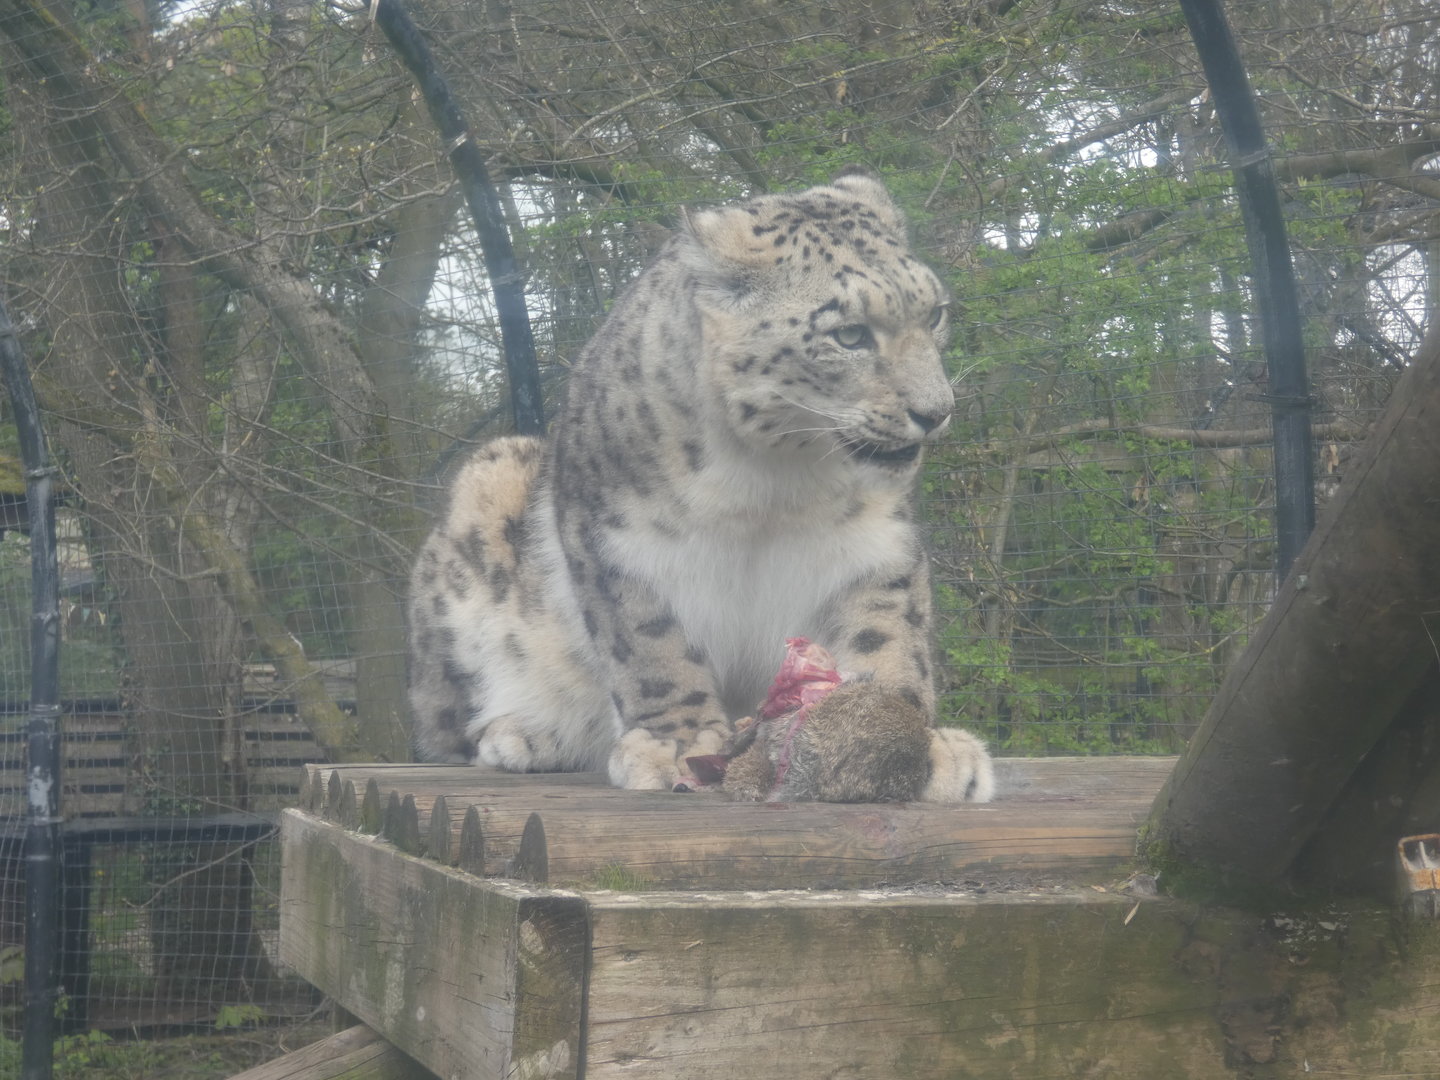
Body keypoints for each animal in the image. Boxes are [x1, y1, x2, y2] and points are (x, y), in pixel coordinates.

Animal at [406, 168, 993, 800]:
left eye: (933, 314)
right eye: (851, 334)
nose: (936, 411)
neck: (775, 481)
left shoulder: (877, 541)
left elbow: (886, 631)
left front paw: (918, 743)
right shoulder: (617, 542)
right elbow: (651, 644)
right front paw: (679, 744)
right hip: (487, 492)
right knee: (447, 732)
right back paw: (525, 733)